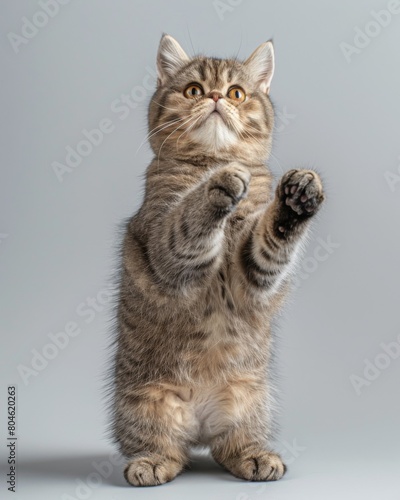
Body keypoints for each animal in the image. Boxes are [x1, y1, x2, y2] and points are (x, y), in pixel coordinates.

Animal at [110, 33, 324, 486]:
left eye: (236, 93)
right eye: (193, 90)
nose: (213, 96)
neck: (211, 159)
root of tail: (200, 424)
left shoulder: (252, 269)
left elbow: (272, 236)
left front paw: (297, 196)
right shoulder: (165, 247)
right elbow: (188, 217)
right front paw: (219, 183)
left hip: (251, 399)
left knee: (231, 446)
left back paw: (255, 456)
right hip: (144, 402)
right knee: (162, 447)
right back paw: (151, 463)